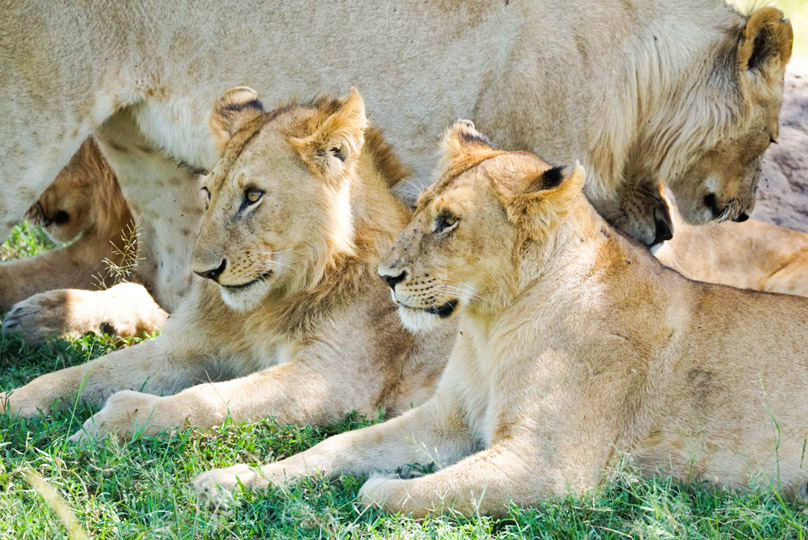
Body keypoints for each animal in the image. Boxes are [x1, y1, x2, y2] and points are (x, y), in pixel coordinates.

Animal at [194, 121, 808, 517]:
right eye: (420, 209)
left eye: (448, 222)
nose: (386, 276)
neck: (490, 327)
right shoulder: (447, 419)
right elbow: (336, 447)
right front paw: (232, 480)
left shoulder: (551, 465)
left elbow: (416, 490)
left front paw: (388, 484)